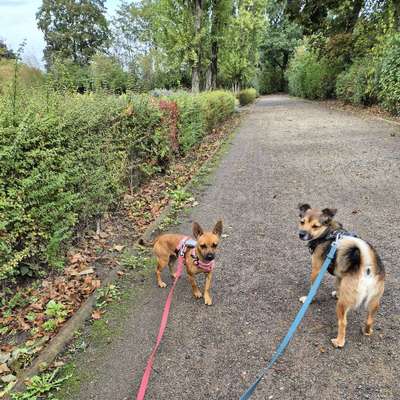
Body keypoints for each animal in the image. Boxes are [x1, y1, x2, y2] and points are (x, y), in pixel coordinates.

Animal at [296, 203, 384, 346]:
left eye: (315, 226)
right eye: (302, 222)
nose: (301, 234)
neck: (327, 232)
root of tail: (367, 267)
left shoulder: (316, 269)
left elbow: (313, 288)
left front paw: (308, 299)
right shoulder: (340, 274)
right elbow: (338, 284)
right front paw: (337, 293)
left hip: (341, 306)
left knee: (343, 323)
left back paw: (339, 341)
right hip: (374, 301)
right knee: (370, 319)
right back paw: (367, 331)